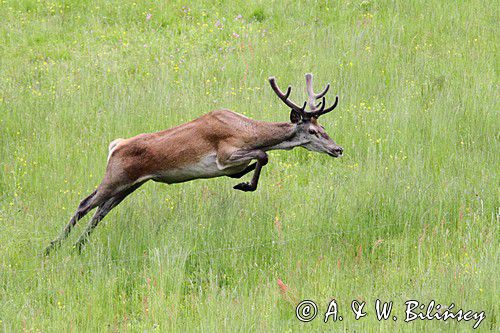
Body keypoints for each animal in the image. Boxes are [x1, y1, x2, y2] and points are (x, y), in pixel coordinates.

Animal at [44, 73, 344, 254]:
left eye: (325, 127)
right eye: (313, 131)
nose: (338, 149)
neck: (248, 132)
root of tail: (115, 146)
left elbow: (256, 161)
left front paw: (241, 182)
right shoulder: (224, 155)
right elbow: (263, 156)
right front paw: (245, 185)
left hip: (129, 185)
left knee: (101, 210)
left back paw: (77, 247)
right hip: (115, 176)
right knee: (85, 203)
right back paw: (52, 247)